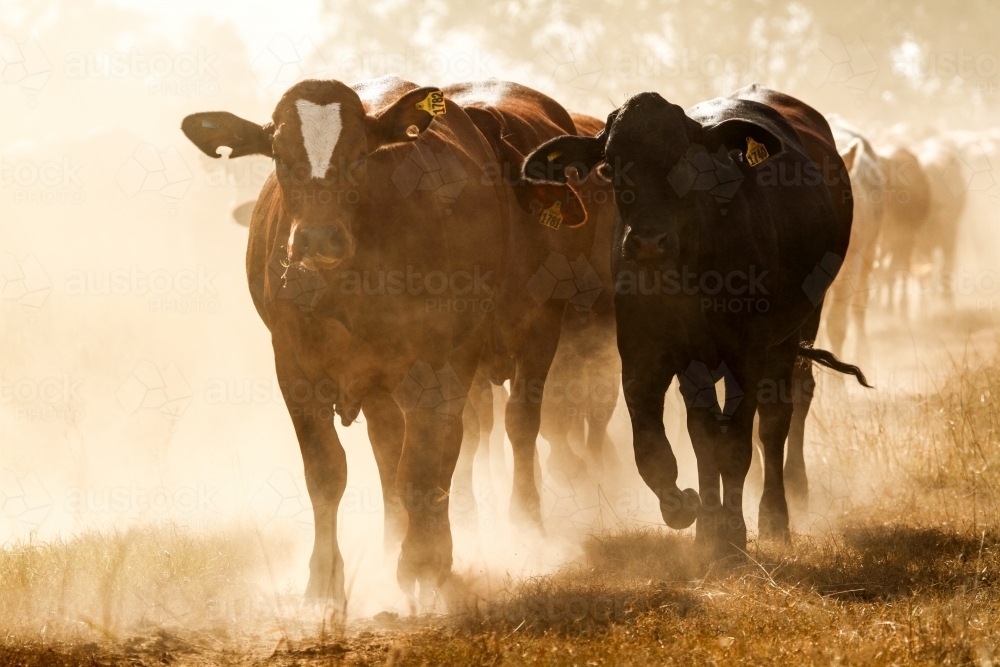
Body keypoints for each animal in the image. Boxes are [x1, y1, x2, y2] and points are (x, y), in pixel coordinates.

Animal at [180, 76, 607, 606]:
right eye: (278, 152)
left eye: (360, 153)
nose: (317, 236)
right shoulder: (294, 369)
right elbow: (327, 473)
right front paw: (325, 580)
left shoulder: (434, 363)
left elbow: (422, 466)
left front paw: (422, 563)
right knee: (396, 449)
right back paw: (396, 542)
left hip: (526, 340)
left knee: (508, 429)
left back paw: (517, 526)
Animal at [522, 84, 869, 556]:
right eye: (610, 166)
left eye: (685, 162)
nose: (648, 242)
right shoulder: (646, 355)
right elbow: (660, 446)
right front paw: (693, 515)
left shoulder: (746, 354)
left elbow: (736, 443)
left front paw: (734, 535)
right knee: (704, 429)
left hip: (797, 329)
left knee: (777, 417)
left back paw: (775, 516)